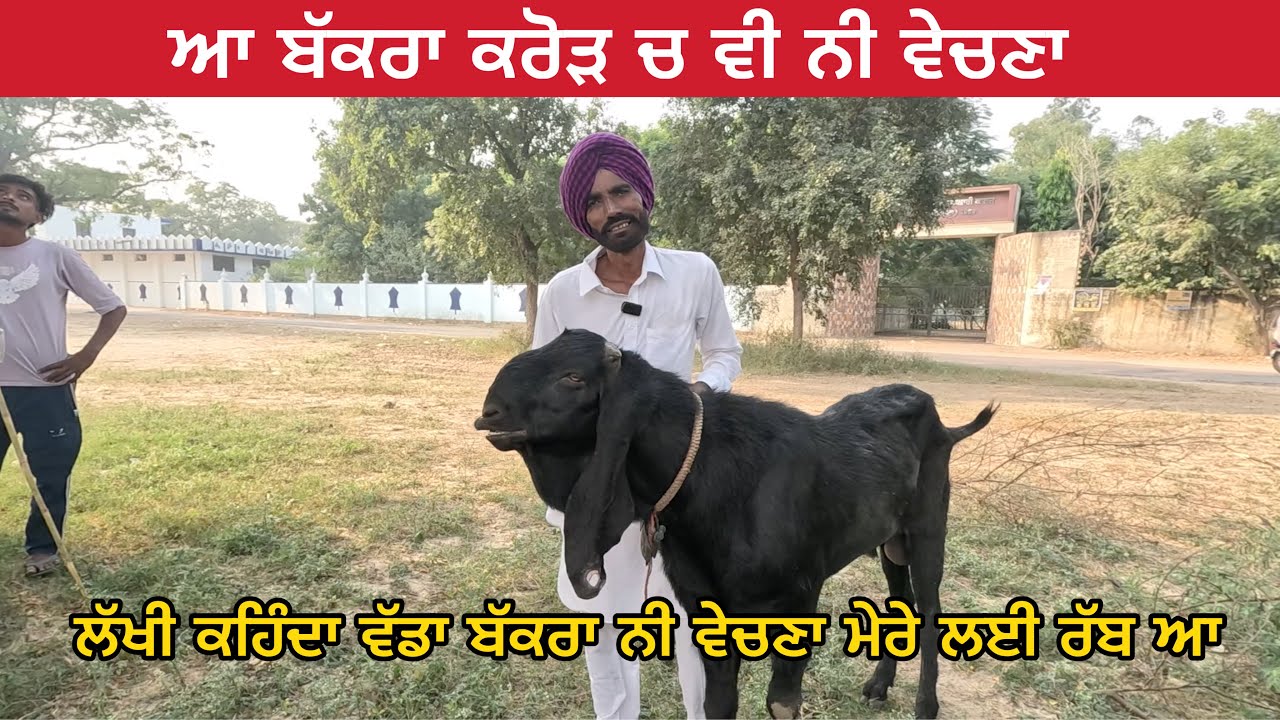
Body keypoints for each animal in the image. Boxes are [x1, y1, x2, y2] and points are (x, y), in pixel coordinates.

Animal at [474, 328, 997, 719]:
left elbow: (781, 702)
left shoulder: (801, 596)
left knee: (929, 611)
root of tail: (938, 418)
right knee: (900, 601)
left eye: (573, 377)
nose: (489, 412)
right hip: (890, 542)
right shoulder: (705, 607)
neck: (717, 484)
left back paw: (924, 707)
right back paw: (879, 684)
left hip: (928, 530)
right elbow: (718, 702)